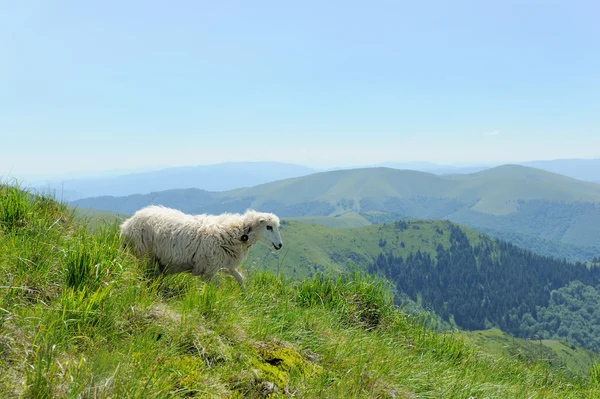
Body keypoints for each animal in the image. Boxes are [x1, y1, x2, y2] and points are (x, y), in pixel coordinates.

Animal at [120, 206, 284, 288]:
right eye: (269, 227)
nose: (280, 245)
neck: (236, 233)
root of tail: (127, 225)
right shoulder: (208, 269)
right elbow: (218, 286)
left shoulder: (224, 264)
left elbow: (239, 278)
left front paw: (243, 293)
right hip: (145, 254)